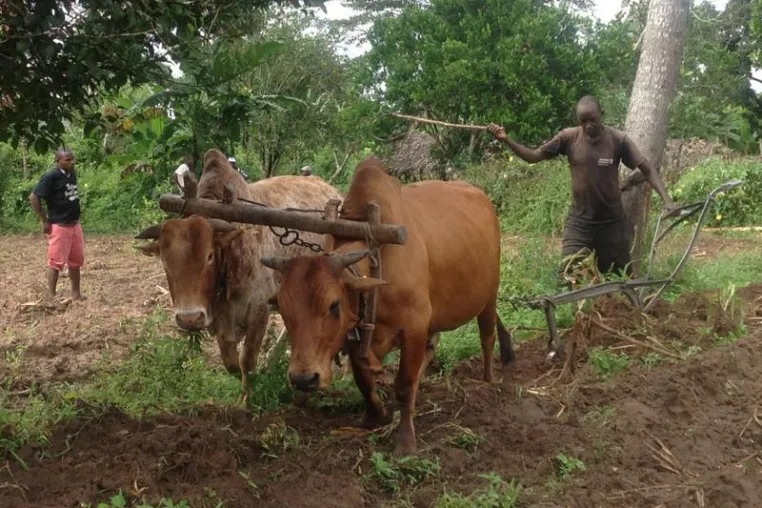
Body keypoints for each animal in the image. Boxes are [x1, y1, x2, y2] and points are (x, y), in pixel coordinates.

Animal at [136, 149, 343, 402]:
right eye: (164, 261)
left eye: (209, 256)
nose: (189, 319)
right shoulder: (221, 321)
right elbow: (231, 363)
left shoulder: (259, 310)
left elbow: (247, 362)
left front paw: (246, 399)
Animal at [260, 158, 515, 455]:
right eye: (283, 308)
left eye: (333, 305)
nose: (303, 379)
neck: (377, 262)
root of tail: (481, 196)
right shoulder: (356, 335)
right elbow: (363, 379)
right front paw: (375, 415)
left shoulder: (414, 328)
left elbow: (403, 384)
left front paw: (405, 441)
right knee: (433, 347)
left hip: (489, 295)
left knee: (487, 337)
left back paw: (487, 383)